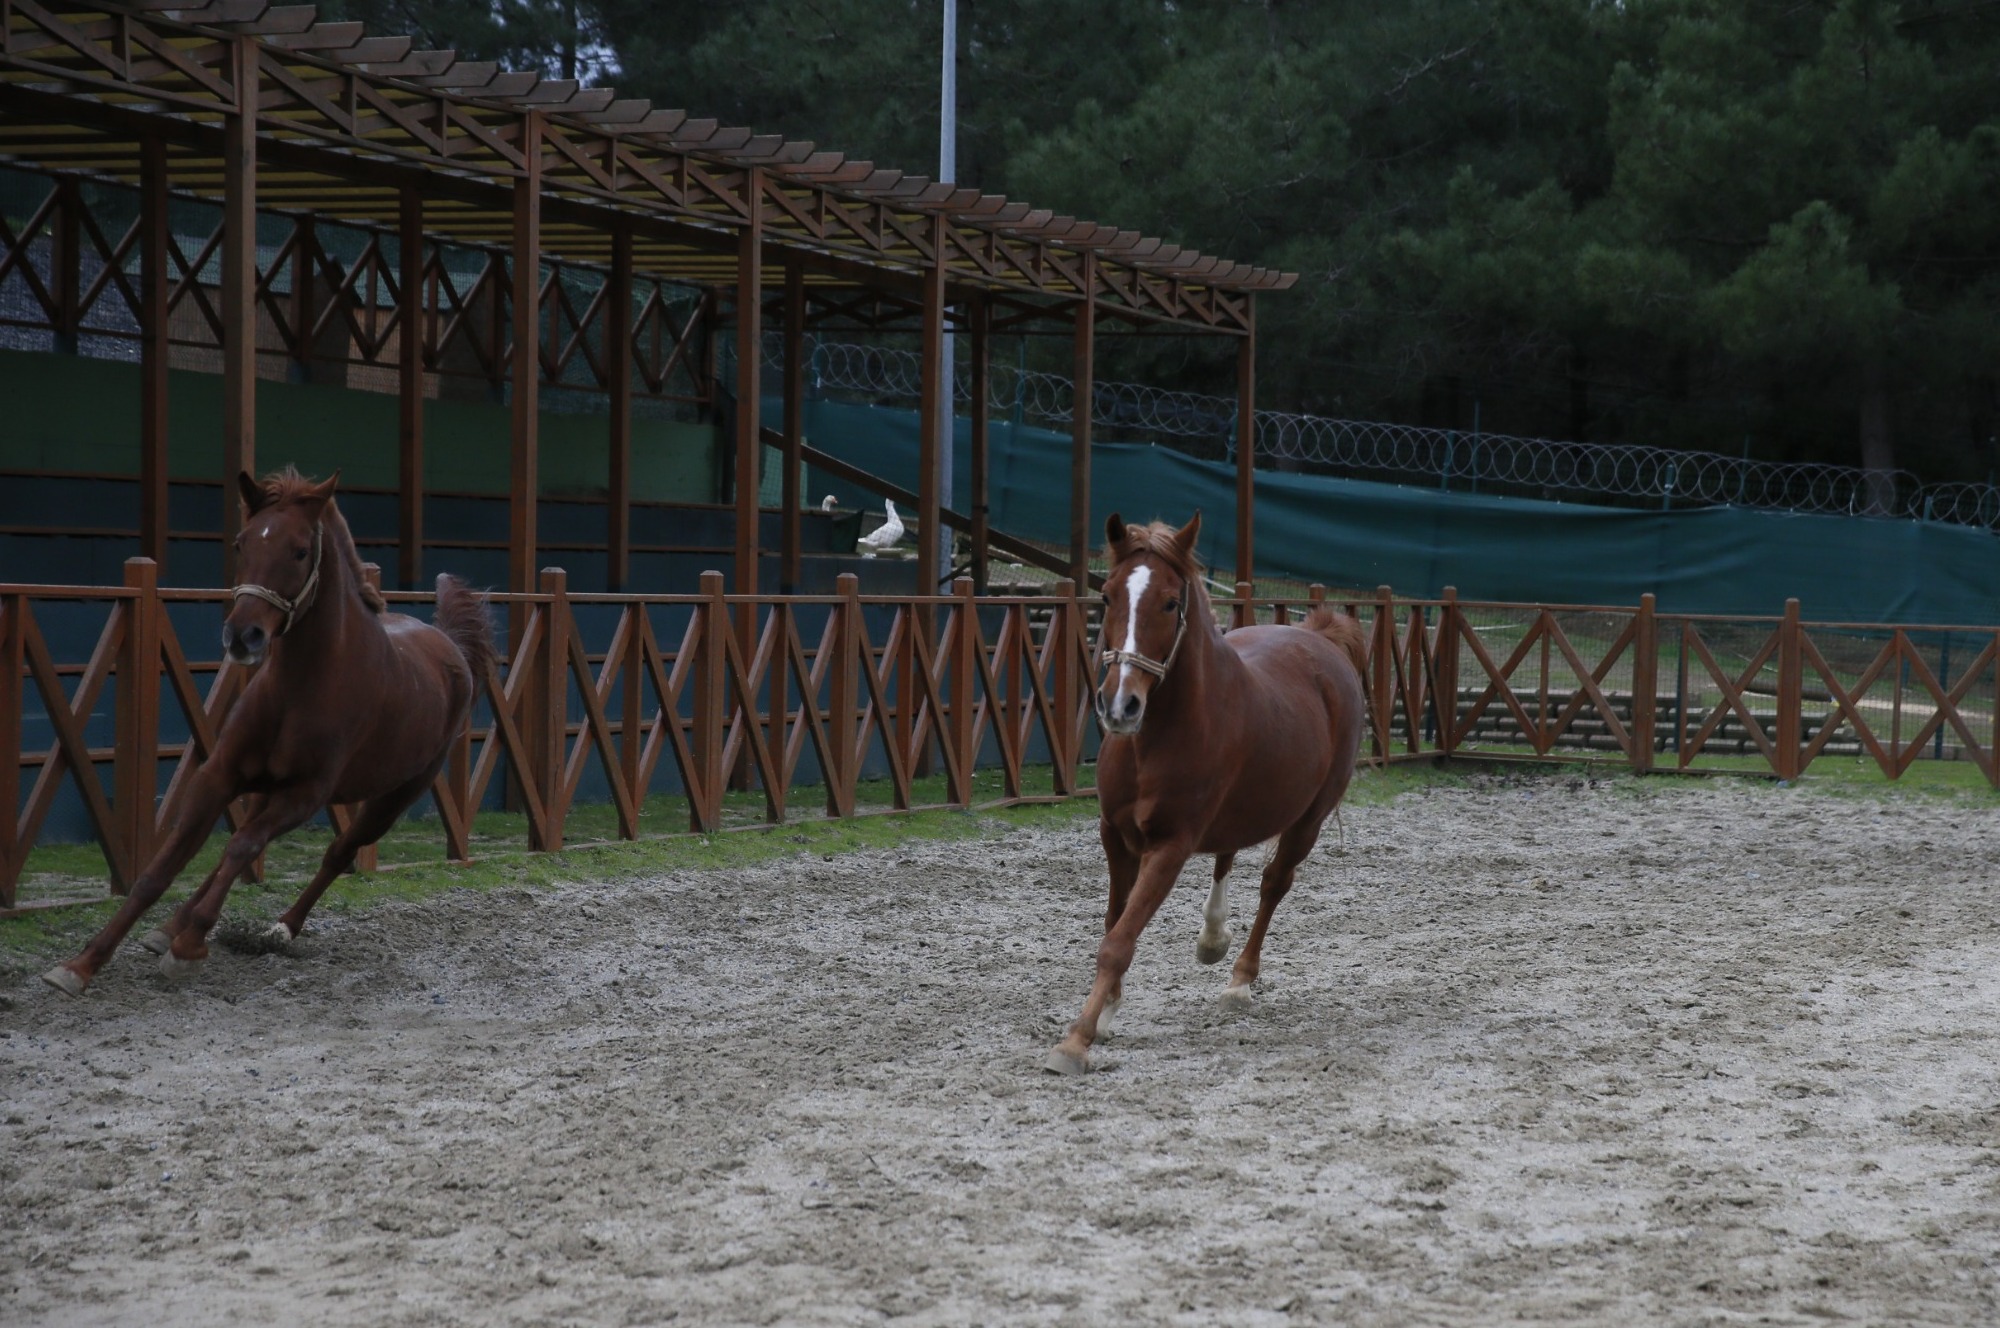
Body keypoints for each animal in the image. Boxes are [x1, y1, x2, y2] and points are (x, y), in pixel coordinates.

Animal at [42, 466, 492, 996]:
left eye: (299, 551)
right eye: (241, 544)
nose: (243, 635)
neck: (302, 685)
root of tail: (452, 650)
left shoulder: (304, 794)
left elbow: (243, 846)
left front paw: (188, 948)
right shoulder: (220, 775)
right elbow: (165, 867)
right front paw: (82, 964)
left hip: (394, 796)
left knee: (335, 853)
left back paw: (279, 928)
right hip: (265, 789)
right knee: (243, 844)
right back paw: (171, 927)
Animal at [1040, 512, 1368, 1072]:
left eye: (1171, 602)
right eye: (1106, 594)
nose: (1119, 705)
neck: (1156, 739)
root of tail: (1320, 637)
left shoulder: (1170, 846)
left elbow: (1120, 940)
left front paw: (1076, 1041)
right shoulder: (1114, 836)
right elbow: (1113, 922)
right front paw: (1107, 1012)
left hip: (1308, 820)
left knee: (1274, 883)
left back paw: (1238, 982)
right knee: (1227, 854)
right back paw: (1212, 938)